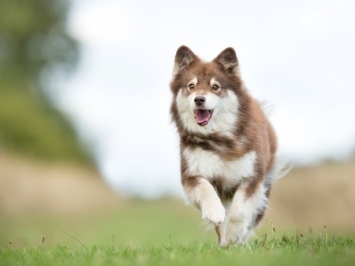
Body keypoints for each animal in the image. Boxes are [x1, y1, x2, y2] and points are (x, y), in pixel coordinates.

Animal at [171, 46, 282, 247]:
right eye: (191, 86)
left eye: (215, 87)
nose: (199, 99)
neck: (219, 138)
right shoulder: (192, 175)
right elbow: (205, 190)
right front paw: (215, 213)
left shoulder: (252, 178)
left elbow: (239, 211)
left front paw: (234, 235)